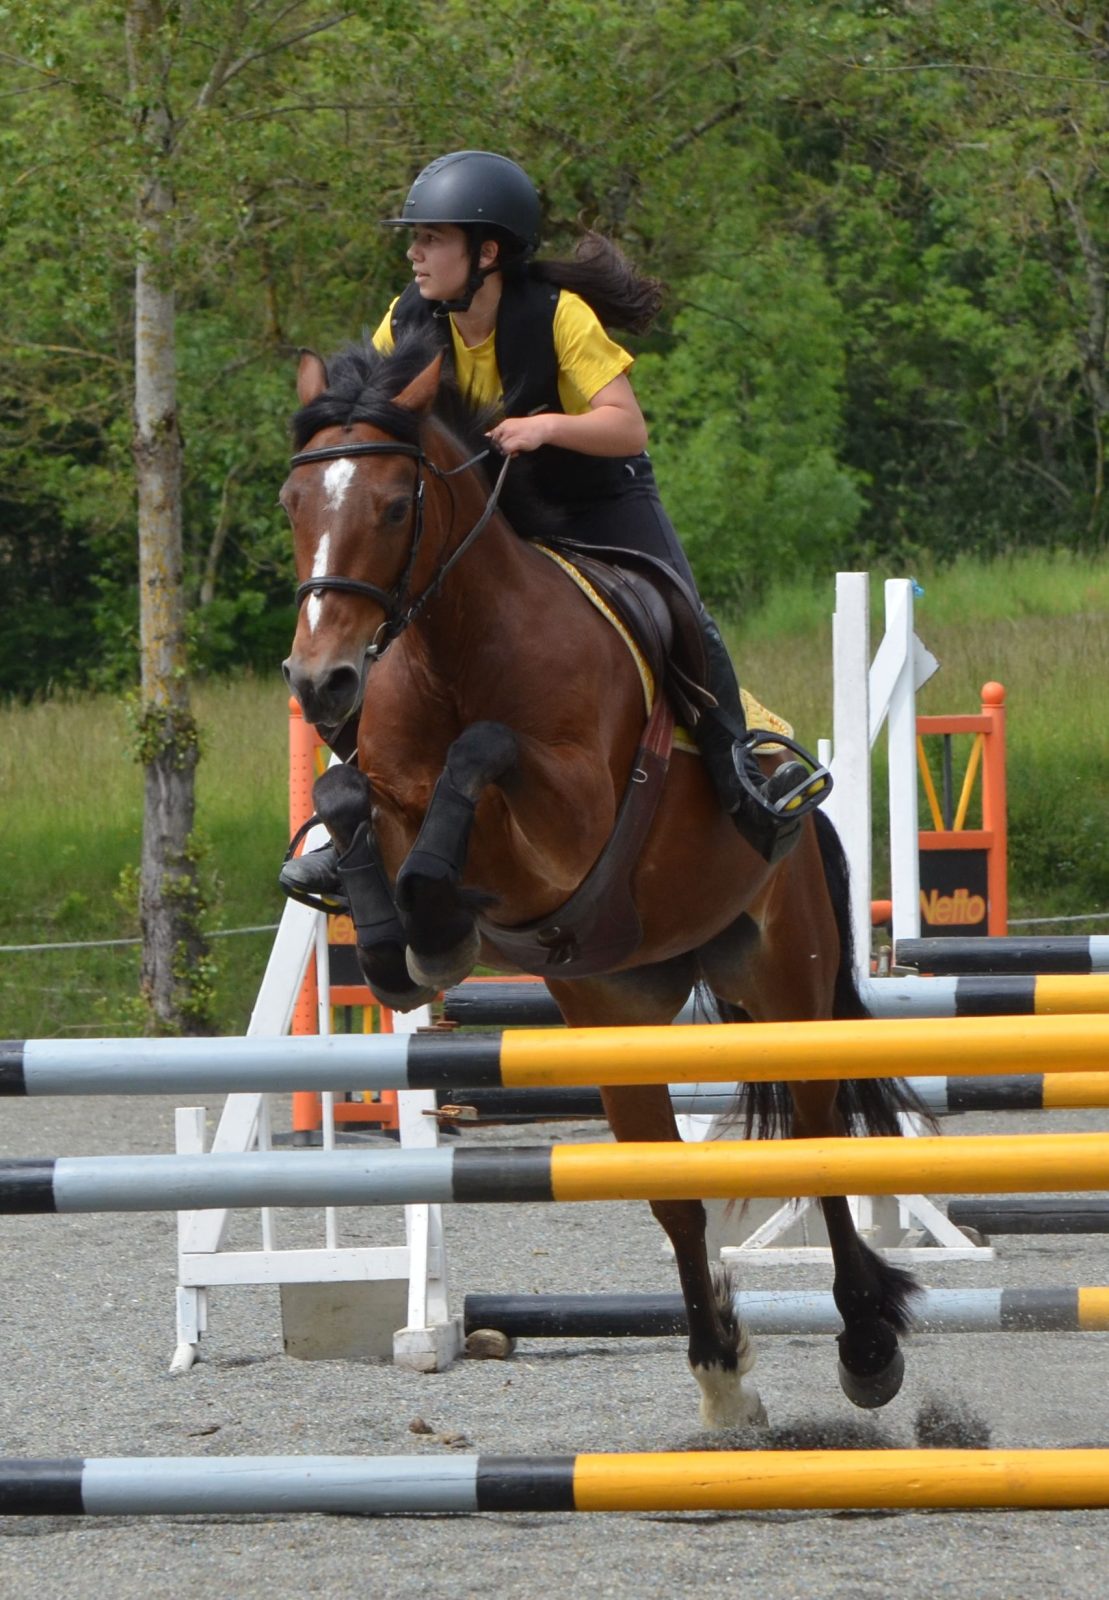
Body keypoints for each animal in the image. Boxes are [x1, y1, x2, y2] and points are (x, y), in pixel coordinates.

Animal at [281, 334, 921, 1427]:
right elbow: (344, 789)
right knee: (673, 1194)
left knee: (816, 1137)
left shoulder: (568, 819)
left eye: (395, 507)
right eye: (292, 505)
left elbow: (482, 756)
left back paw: (866, 1345)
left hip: (784, 976)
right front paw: (397, 941)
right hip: (615, 1014)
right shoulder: (388, 783)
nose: (319, 681)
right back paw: (720, 1379)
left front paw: (433, 921)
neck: (455, 649)